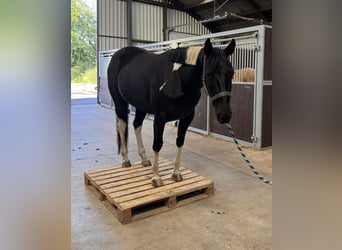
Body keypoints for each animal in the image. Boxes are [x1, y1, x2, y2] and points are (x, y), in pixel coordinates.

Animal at [107, 39, 235, 187]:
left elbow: (180, 141)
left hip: (141, 106)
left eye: (231, 73)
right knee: (122, 126)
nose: (225, 115)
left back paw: (144, 159)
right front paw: (156, 177)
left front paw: (176, 174)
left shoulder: (187, 117)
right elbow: (157, 144)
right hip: (119, 102)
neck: (177, 79)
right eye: (209, 74)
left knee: (136, 125)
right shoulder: (160, 117)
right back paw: (126, 160)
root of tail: (119, 54)